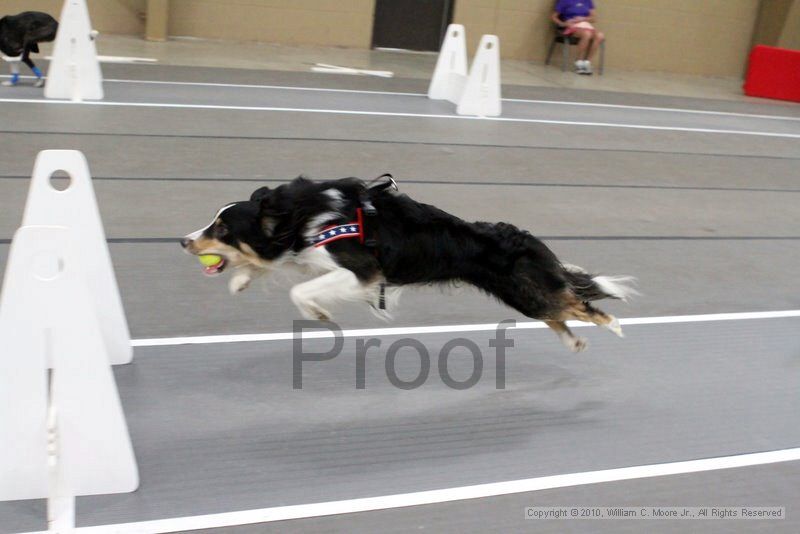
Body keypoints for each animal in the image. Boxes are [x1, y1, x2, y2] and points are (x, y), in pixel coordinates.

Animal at [181, 177, 636, 352]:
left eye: (222, 229)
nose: (184, 241)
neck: (299, 217)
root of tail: (527, 241)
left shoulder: (363, 271)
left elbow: (300, 289)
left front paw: (319, 313)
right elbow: (281, 271)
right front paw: (241, 280)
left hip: (526, 290)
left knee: (578, 303)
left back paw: (614, 325)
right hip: (521, 296)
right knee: (559, 310)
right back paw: (575, 342)